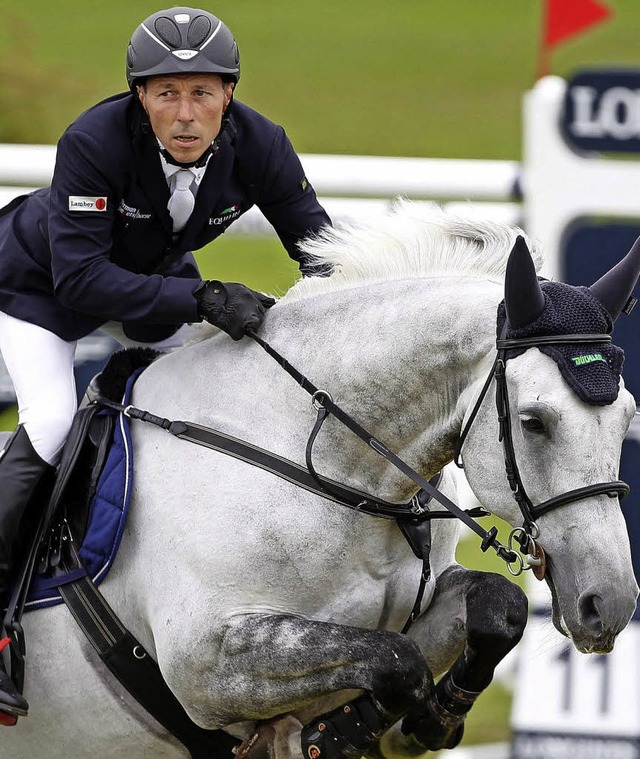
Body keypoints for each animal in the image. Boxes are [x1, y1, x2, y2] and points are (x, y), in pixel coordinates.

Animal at [6, 203, 640, 759]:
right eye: (534, 422)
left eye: (627, 417)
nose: (608, 605)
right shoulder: (206, 662)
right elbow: (397, 661)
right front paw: (330, 737)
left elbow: (498, 606)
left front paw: (424, 724)